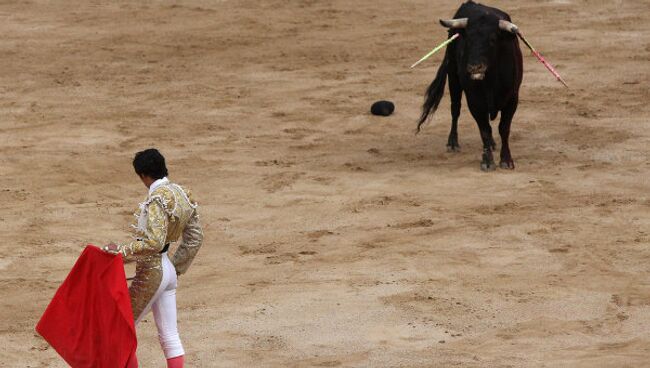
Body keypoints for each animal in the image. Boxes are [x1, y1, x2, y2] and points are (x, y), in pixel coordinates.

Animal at [416, 0, 520, 171]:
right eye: (468, 40)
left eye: (493, 39)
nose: (474, 67)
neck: (491, 80)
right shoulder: (475, 101)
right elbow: (484, 129)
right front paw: (487, 161)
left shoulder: (512, 98)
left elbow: (504, 128)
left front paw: (506, 160)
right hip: (453, 78)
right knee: (455, 109)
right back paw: (453, 143)